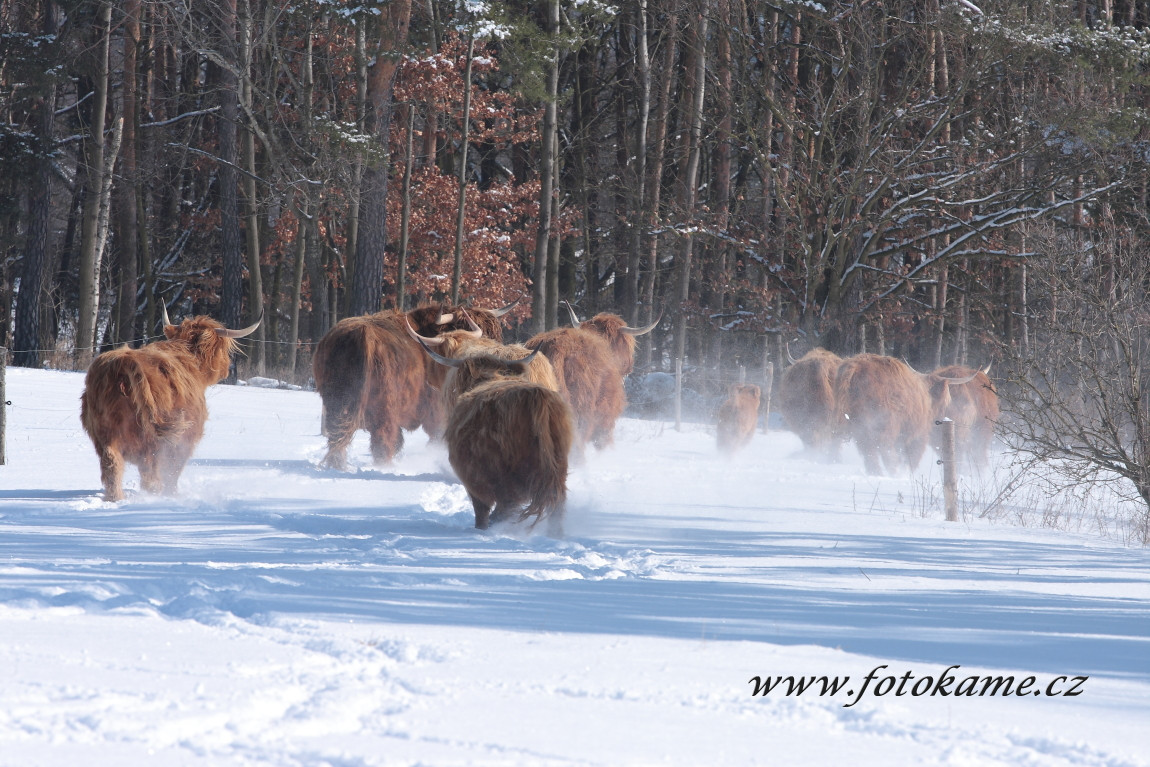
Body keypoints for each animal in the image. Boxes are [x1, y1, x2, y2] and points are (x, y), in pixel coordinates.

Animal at [79, 308, 259, 501]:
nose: (227, 368)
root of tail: (121, 361)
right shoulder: (186, 439)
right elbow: (174, 470)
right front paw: (173, 494)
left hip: (103, 433)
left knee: (112, 463)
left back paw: (116, 497)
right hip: (154, 437)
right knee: (149, 470)